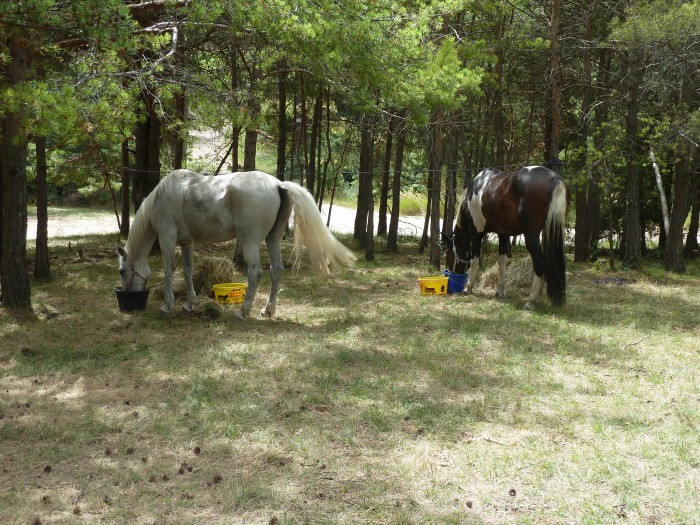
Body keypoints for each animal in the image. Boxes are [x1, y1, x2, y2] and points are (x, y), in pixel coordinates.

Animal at [117, 170, 356, 318]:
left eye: (121, 270)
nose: (126, 295)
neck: (164, 195)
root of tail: (278, 184)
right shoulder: (187, 242)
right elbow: (187, 271)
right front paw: (189, 304)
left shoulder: (167, 238)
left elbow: (168, 272)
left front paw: (167, 305)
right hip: (273, 239)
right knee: (276, 270)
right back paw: (268, 311)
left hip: (250, 242)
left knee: (256, 273)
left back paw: (243, 311)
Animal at [448, 166, 568, 310]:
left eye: (448, 254)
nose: (453, 273)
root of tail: (554, 177)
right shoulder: (503, 234)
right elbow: (502, 261)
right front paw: (500, 291)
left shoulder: (476, 233)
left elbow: (474, 260)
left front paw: (468, 288)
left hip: (531, 235)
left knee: (539, 262)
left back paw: (531, 301)